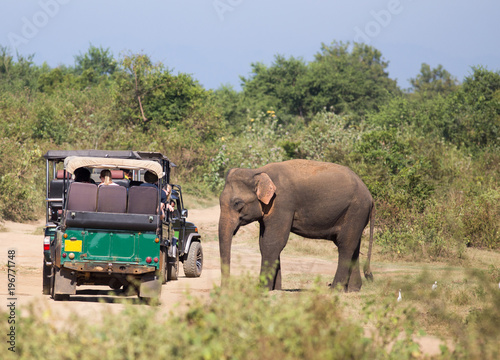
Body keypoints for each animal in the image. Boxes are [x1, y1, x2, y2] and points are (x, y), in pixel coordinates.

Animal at [217, 160, 374, 292]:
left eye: (237, 204)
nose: (225, 289)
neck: (258, 172)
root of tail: (370, 196)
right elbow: (264, 242)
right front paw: (276, 290)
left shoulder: (282, 202)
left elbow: (272, 242)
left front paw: (262, 289)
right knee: (354, 245)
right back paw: (352, 290)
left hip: (356, 210)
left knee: (345, 245)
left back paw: (334, 290)